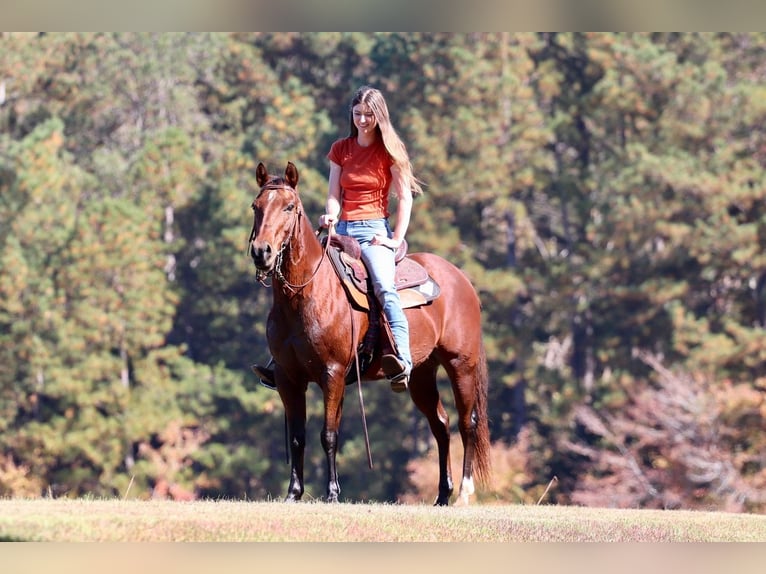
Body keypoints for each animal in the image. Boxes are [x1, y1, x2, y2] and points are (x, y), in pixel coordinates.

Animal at [250, 163, 492, 508]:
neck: (305, 295)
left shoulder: (333, 374)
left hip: (461, 365)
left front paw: (332, 493)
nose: (261, 252)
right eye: (255, 207)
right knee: (441, 425)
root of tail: (461, 279)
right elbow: (298, 436)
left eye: (289, 207)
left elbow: (329, 434)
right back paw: (442, 495)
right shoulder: (287, 378)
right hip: (421, 374)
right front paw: (293, 493)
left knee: (466, 422)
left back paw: (463, 493)